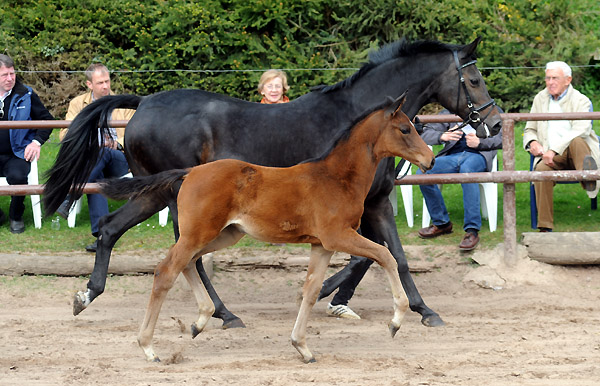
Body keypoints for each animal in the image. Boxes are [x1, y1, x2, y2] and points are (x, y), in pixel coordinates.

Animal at [43, 37, 502, 328]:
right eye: (474, 79)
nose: (495, 123)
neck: (361, 123)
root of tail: (144, 104)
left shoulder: (375, 203)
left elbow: (389, 256)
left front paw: (416, 309)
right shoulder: (355, 209)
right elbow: (375, 256)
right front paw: (331, 294)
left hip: (152, 192)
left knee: (109, 229)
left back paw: (87, 296)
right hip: (182, 202)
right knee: (187, 255)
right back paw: (225, 315)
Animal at [101, 93, 434, 362]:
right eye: (405, 129)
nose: (430, 158)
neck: (336, 177)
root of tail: (189, 172)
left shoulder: (321, 244)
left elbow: (311, 290)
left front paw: (302, 347)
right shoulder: (338, 235)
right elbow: (386, 256)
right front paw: (396, 321)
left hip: (223, 234)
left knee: (189, 262)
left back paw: (200, 320)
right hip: (200, 233)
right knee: (166, 270)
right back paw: (149, 347)